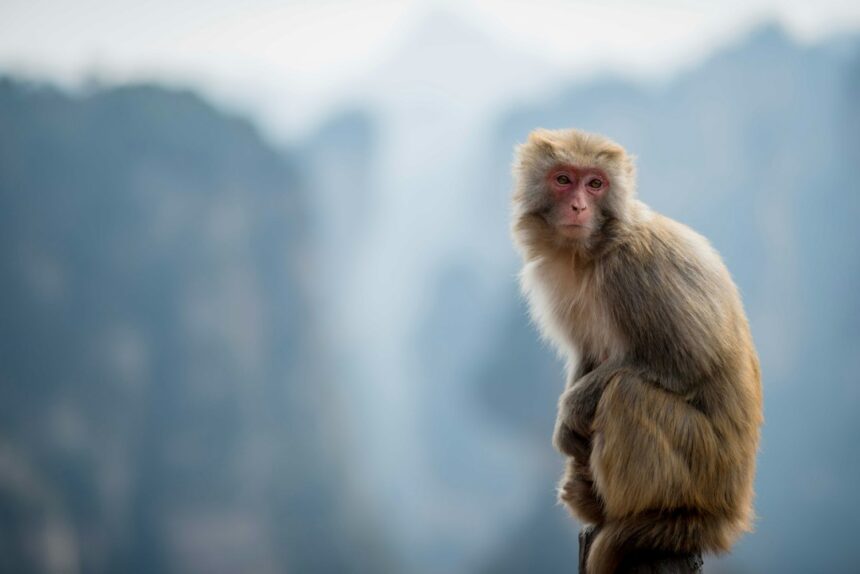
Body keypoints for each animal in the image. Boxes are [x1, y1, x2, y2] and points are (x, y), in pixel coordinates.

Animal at [510, 128, 763, 574]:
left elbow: (687, 360)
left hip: (704, 465)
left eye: (595, 184)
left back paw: (645, 517)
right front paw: (568, 432)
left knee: (627, 392)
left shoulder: (636, 272)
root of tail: (728, 513)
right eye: (563, 180)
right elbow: (587, 355)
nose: (578, 206)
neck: (594, 250)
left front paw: (570, 412)